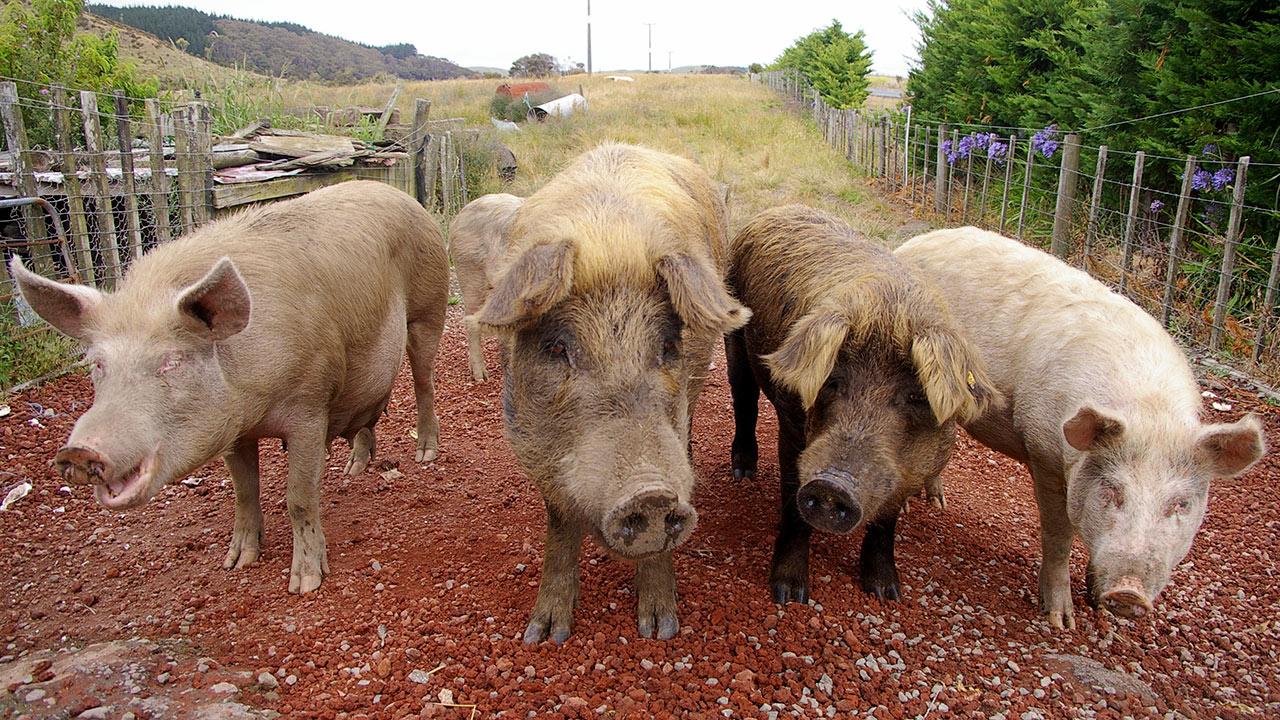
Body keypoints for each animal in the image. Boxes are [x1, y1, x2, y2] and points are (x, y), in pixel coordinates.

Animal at [10, 180, 448, 594]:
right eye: (98, 365)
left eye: (172, 361)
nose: (78, 450)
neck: (257, 404)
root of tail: (403, 197)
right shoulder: (235, 427)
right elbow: (244, 492)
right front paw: (237, 563)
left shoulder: (310, 404)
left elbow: (300, 497)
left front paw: (305, 584)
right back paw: (354, 469)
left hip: (429, 309)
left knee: (423, 381)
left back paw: (425, 453)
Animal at [471, 140, 747, 638]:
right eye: (558, 347)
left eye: (668, 345)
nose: (651, 493)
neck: (610, 242)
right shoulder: (538, 447)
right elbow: (560, 525)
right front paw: (545, 635)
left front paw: (659, 630)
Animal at [727, 204, 993, 602]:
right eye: (833, 382)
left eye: (915, 396)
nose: (832, 485)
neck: (888, 311)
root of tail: (779, 208)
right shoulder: (794, 428)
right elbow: (793, 504)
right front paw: (789, 595)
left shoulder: (911, 466)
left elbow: (886, 521)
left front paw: (885, 593)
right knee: (745, 401)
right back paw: (743, 472)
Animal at [896, 225, 1264, 627]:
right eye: (1112, 490)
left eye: (1180, 504)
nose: (1129, 593)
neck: (1149, 409)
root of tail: (919, 240)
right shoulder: (1043, 448)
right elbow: (1058, 534)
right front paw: (1061, 621)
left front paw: (1097, 602)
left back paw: (938, 503)